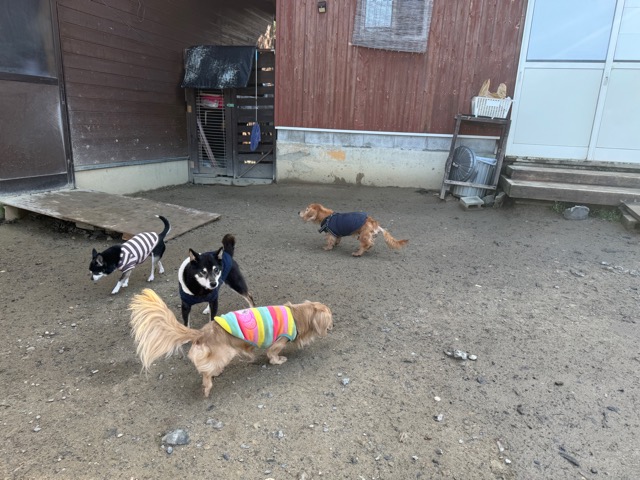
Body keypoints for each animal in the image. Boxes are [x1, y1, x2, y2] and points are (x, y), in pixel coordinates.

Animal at [129, 288, 333, 397]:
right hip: (225, 353)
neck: (298, 315)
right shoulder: (279, 341)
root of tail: (203, 332)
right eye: (330, 318)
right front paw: (279, 360)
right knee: (206, 372)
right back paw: (208, 385)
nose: (333, 326)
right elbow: (273, 354)